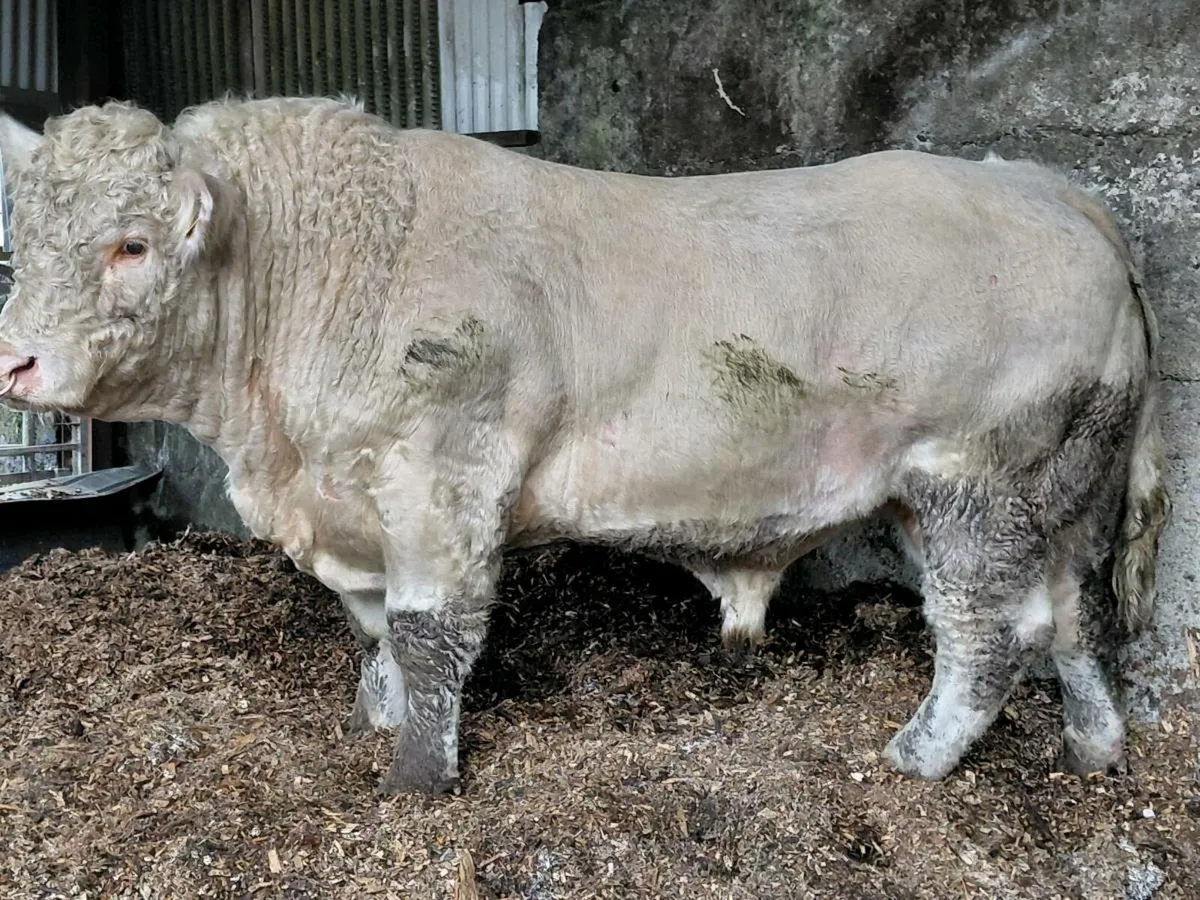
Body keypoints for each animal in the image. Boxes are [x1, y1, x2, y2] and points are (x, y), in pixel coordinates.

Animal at [0, 97, 1170, 796]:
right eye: (25, 236)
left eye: (131, 245)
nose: (15, 362)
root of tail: (1046, 187)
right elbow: (377, 628)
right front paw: (377, 714)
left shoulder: (443, 473)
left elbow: (427, 631)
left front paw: (417, 777)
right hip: (1047, 497)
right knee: (1071, 616)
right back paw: (1094, 745)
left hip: (980, 484)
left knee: (990, 634)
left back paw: (913, 760)